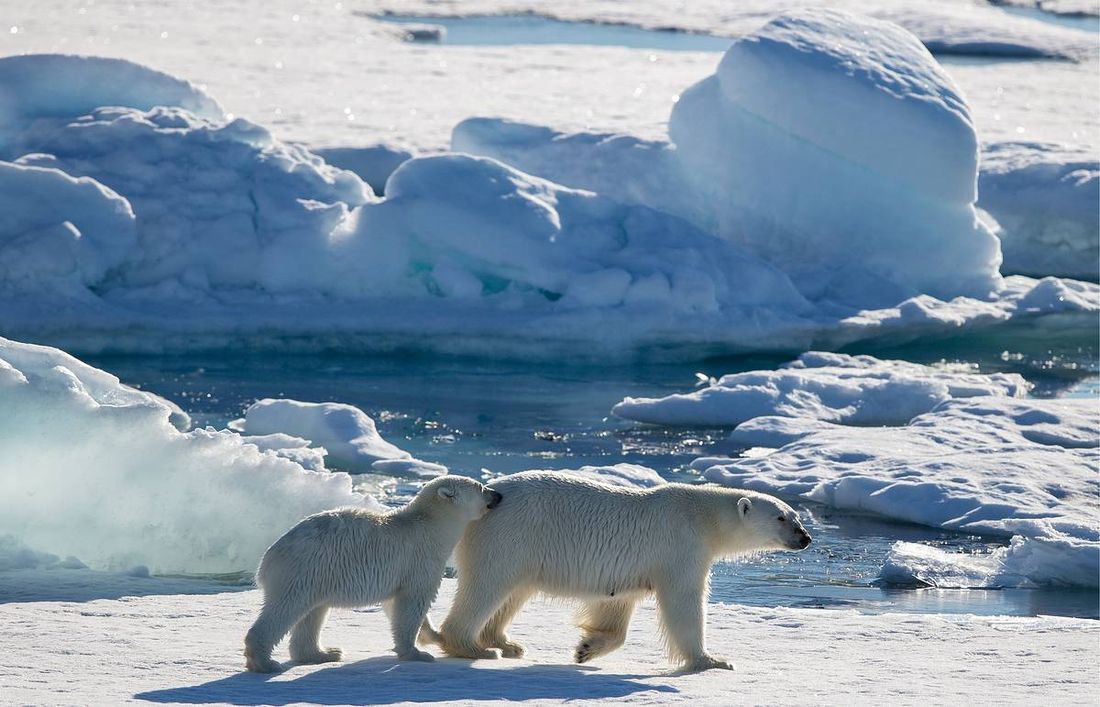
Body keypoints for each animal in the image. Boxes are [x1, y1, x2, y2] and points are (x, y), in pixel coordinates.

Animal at [424, 472, 814, 672]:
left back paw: (505, 642)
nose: (806, 537)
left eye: (796, 515)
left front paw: (586, 649)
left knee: (514, 592)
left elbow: (616, 605)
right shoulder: (681, 545)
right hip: (509, 535)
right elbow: (684, 602)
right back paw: (472, 646)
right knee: (488, 585)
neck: (703, 516)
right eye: (781, 517)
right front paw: (712, 660)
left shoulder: (628, 569)